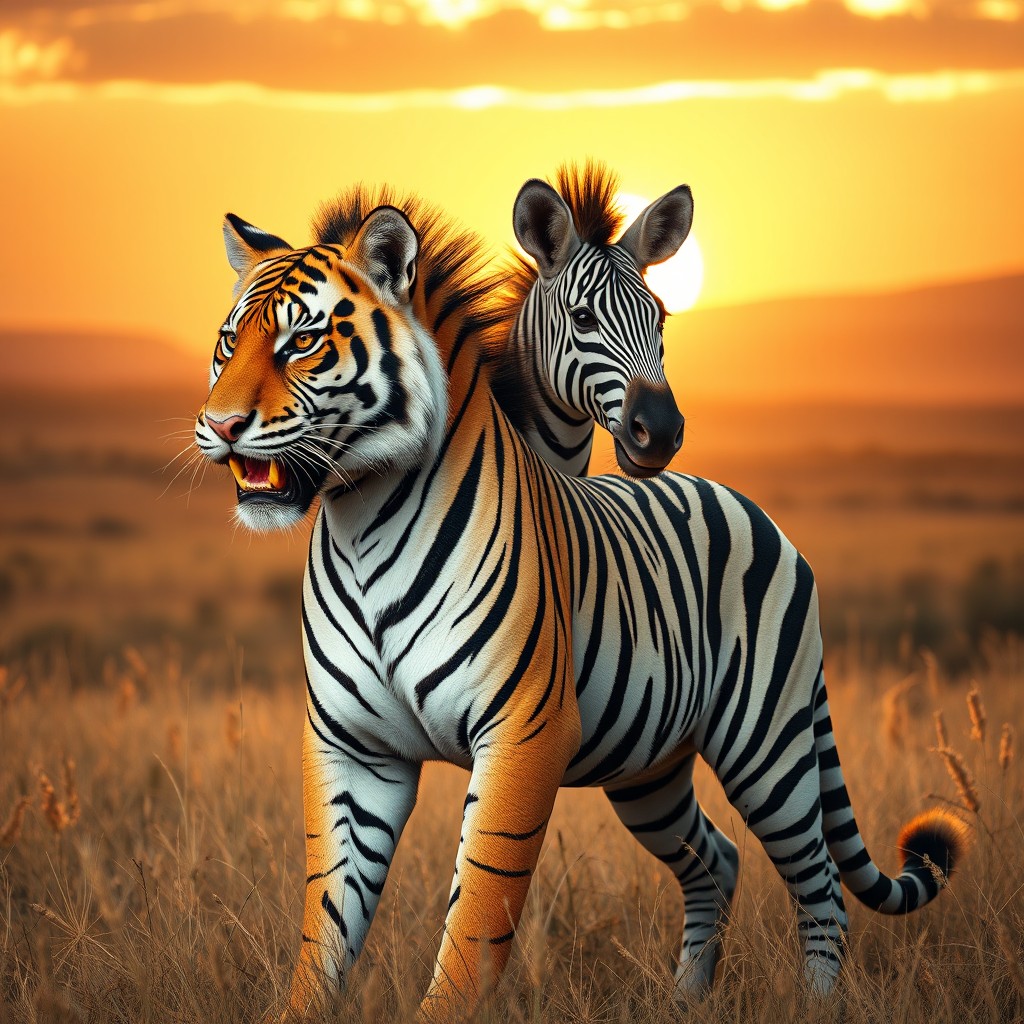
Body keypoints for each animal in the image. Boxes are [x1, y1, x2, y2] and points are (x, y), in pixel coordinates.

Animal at [194, 190, 967, 1022]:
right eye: (230, 343)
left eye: (303, 344)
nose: (220, 426)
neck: (365, 523)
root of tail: (746, 504)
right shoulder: (353, 748)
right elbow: (330, 921)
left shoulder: (524, 734)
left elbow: (476, 917)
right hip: (651, 766)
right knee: (717, 860)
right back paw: (684, 1001)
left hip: (769, 746)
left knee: (821, 888)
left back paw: (812, 1005)